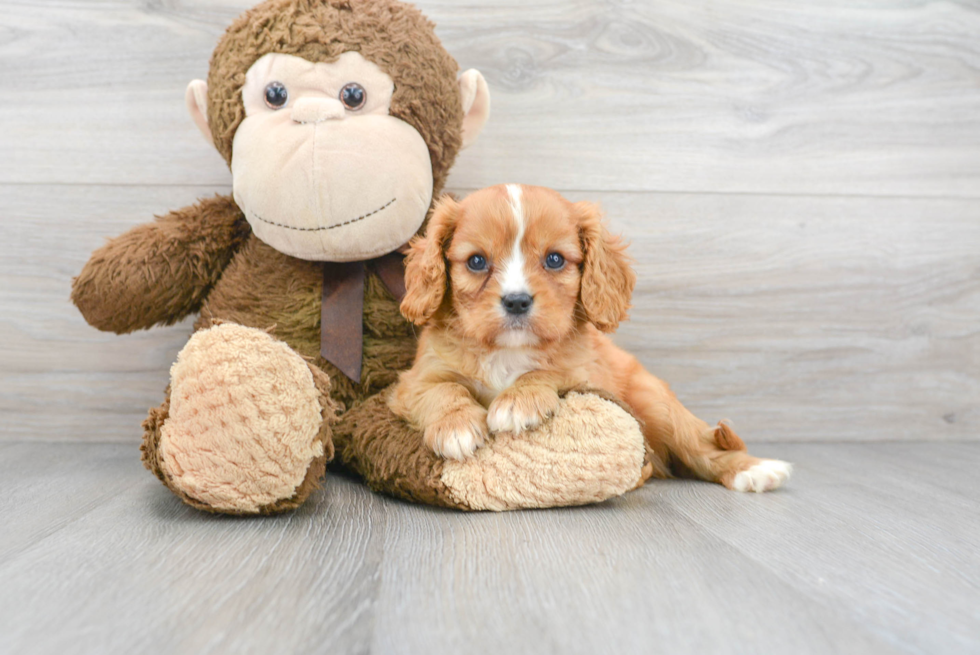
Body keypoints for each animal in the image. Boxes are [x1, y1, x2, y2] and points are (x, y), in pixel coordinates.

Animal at [388, 184, 788, 492]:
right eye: (476, 262)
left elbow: (549, 371)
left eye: (554, 259)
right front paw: (455, 426)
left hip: (655, 404)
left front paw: (519, 400)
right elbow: (442, 389)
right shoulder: (413, 382)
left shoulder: (588, 375)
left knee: (699, 445)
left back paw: (754, 470)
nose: (517, 301)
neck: (509, 352)